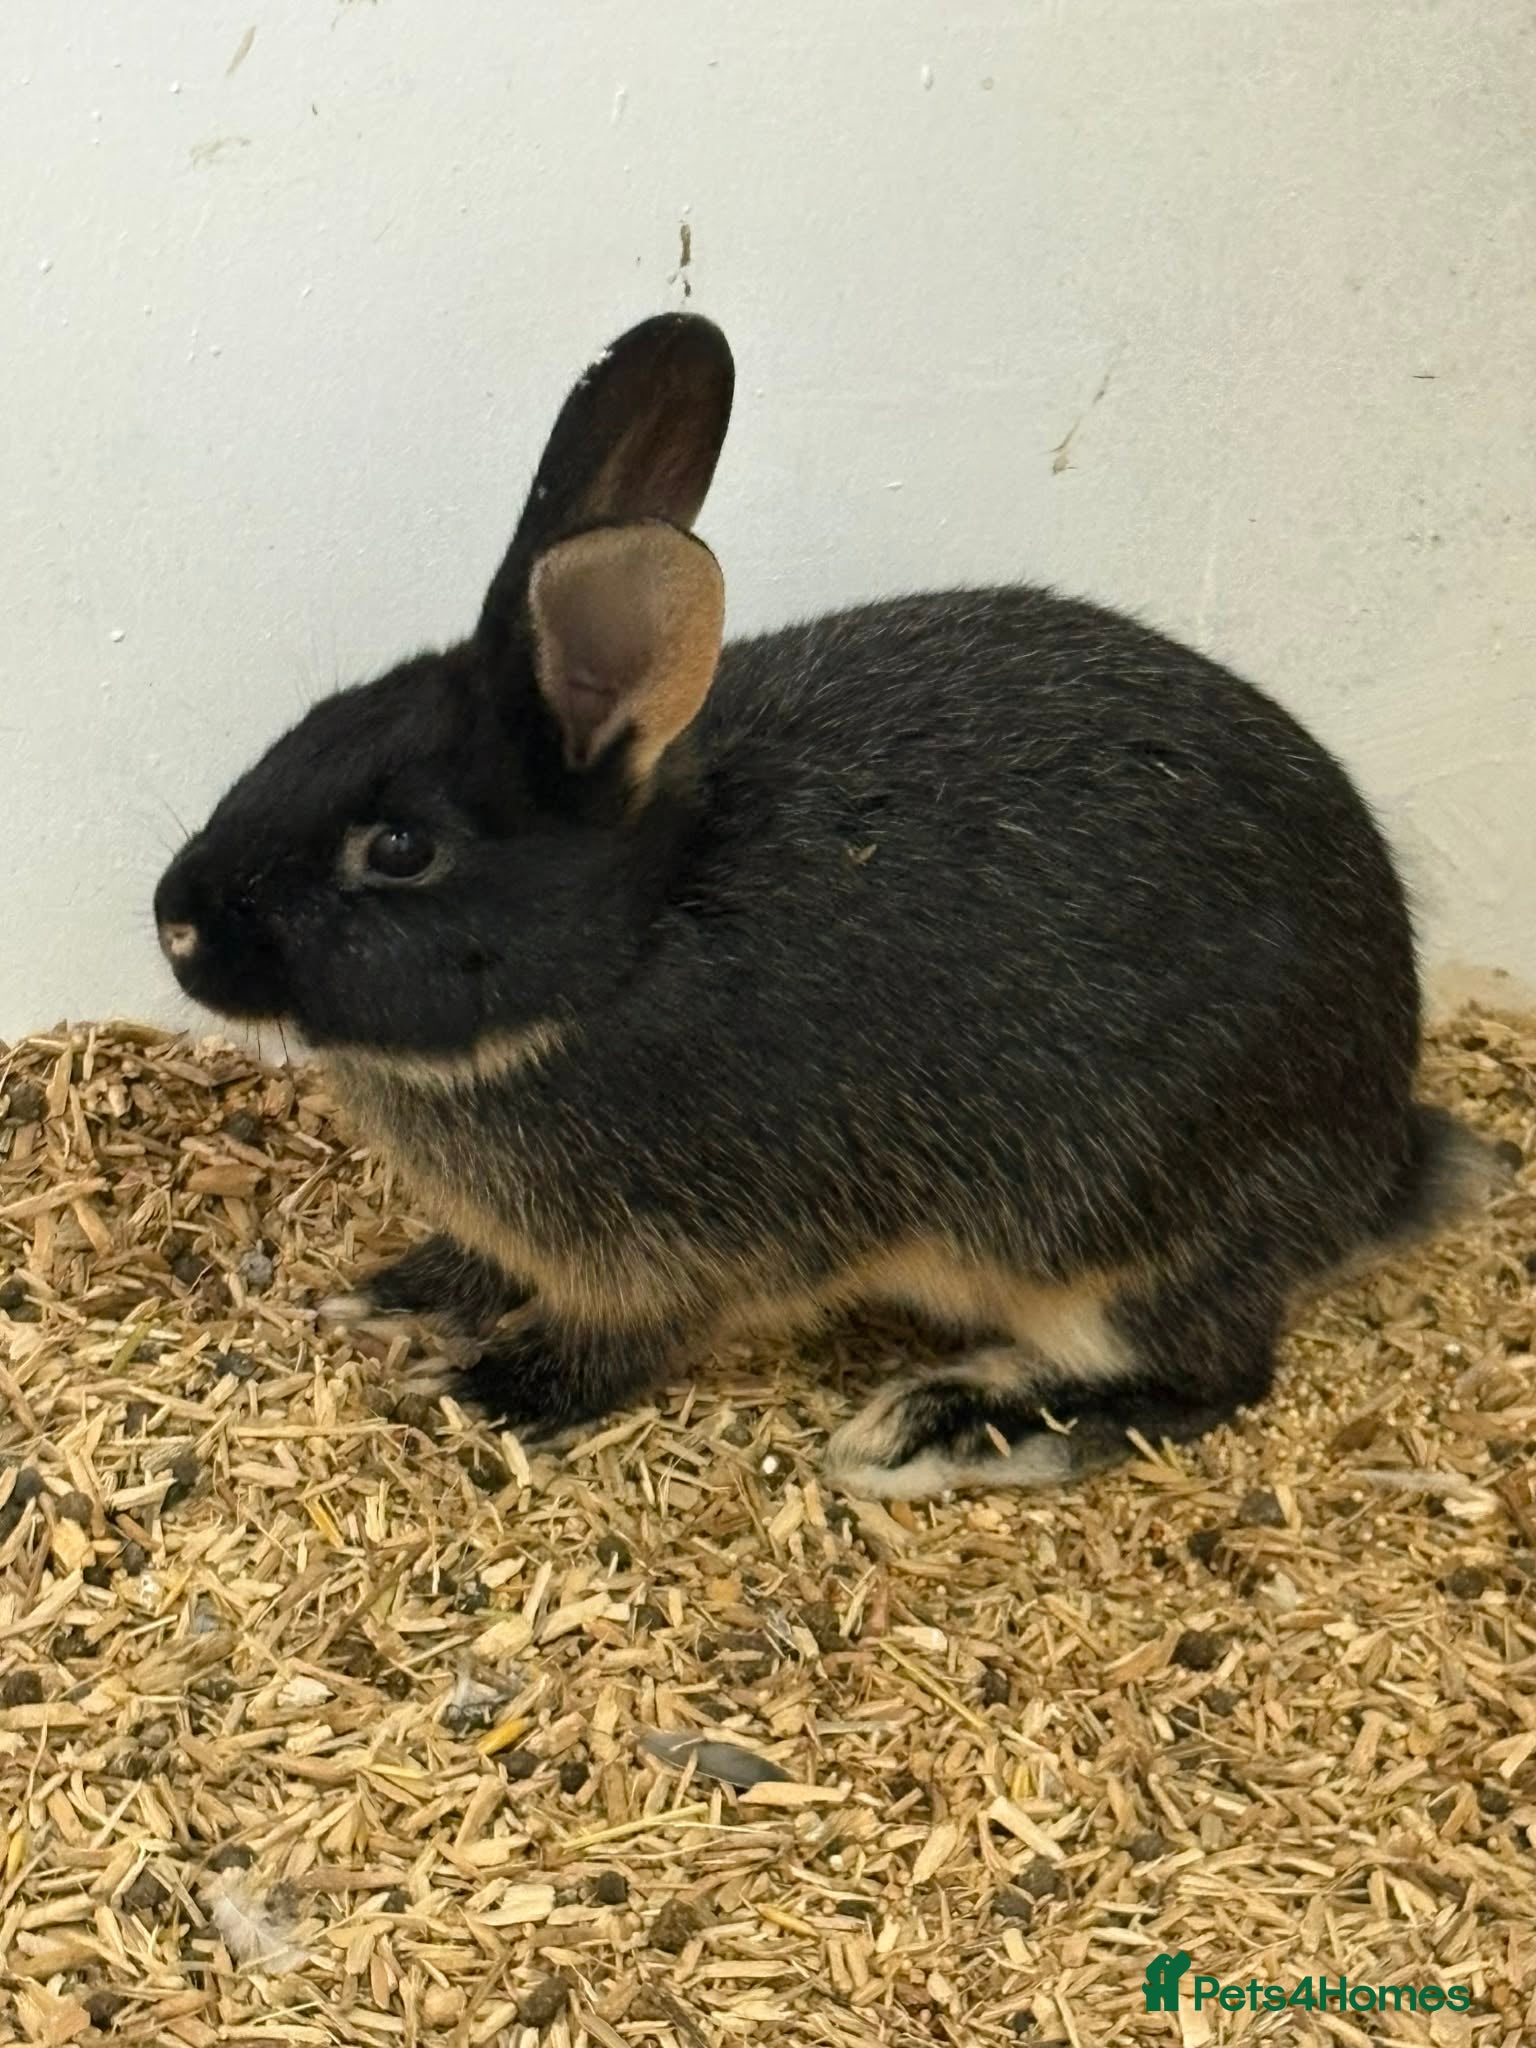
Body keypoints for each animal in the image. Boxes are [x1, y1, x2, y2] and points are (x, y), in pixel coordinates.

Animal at [153, 311, 1503, 1499]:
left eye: (398, 846)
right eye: (315, 727)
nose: (174, 921)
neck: (621, 956)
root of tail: (1381, 1162)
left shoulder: (703, 1252)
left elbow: (631, 1335)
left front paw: (496, 1387)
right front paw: (396, 1293)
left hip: (1120, 1240)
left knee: (1210, 1373)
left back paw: (930, 1426)